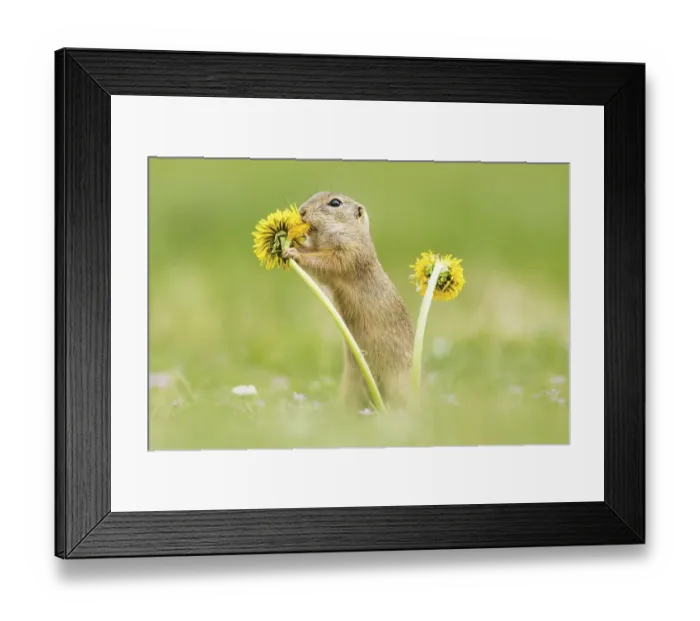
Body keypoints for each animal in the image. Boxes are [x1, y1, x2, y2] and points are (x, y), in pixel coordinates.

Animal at [282, 192, 415, 409]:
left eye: (335, 203)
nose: (301, 211)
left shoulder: (349, 253)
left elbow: (325, 261)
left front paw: (293, 252)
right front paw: (293, 243)